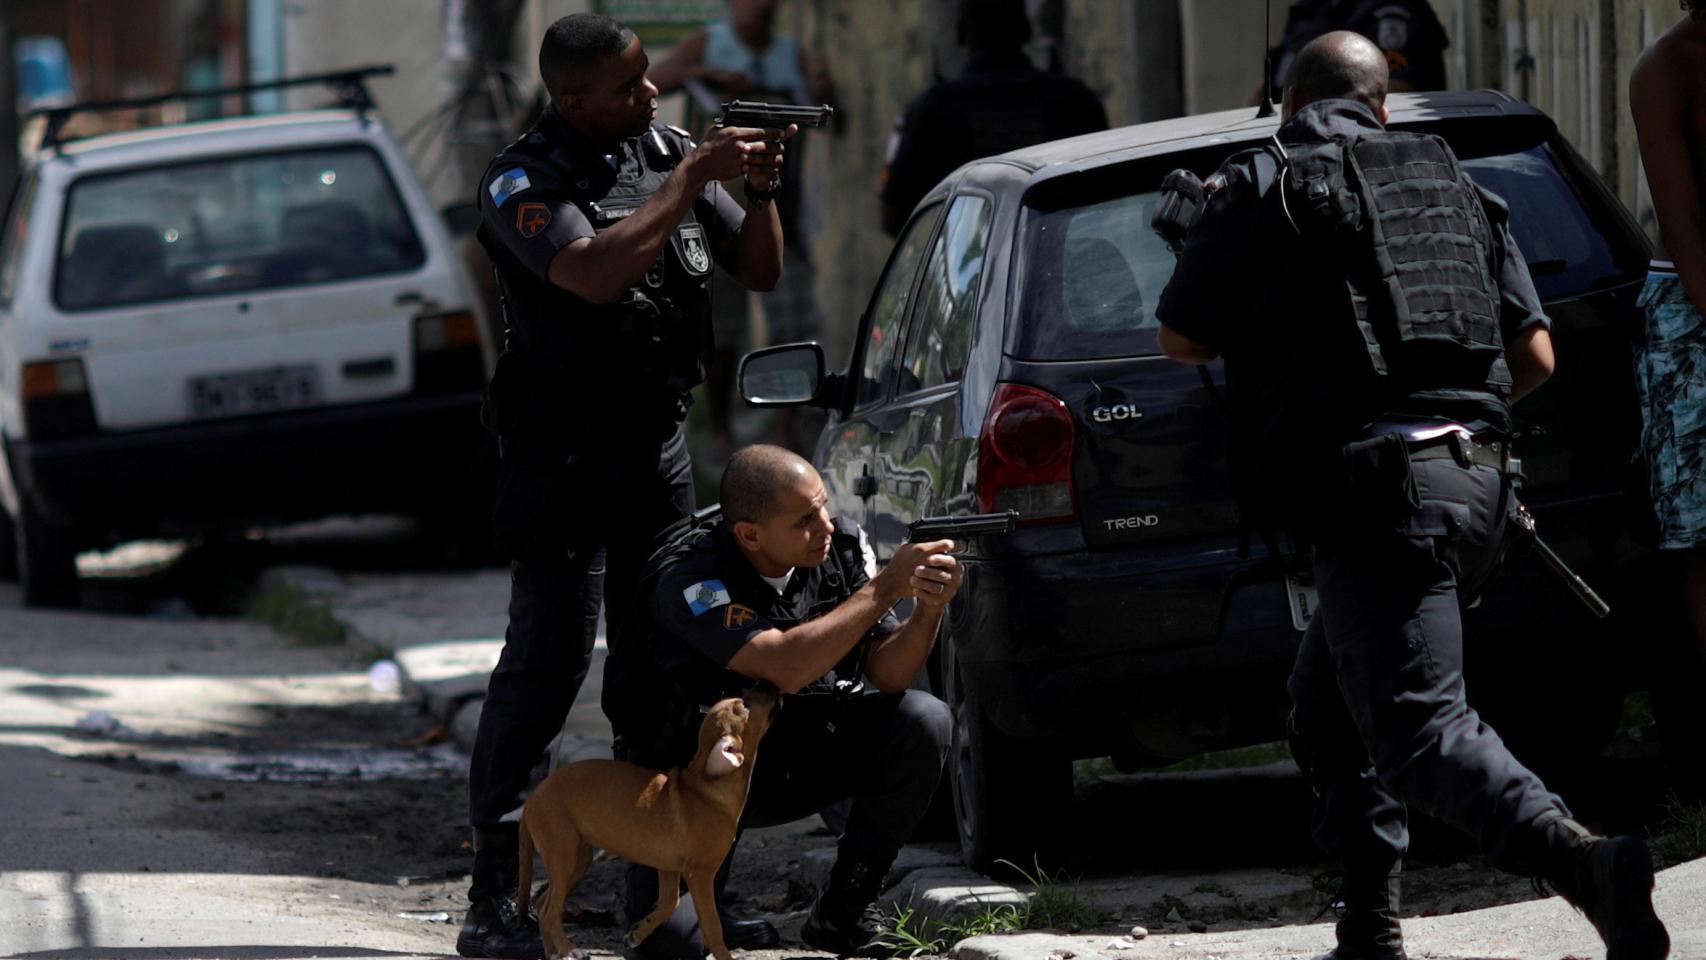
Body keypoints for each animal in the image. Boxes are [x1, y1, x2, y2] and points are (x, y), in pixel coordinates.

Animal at [518, 692, 781, 960]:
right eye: (744, 706)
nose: (769, 687)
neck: (705, 787)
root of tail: (533, 798)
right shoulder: (700, 873)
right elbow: (712, 927)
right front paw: (724, 955)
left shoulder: (668, 866)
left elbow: (669, 902)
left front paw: (636, 934)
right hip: (564, 854)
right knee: (549, 911)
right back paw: (569, 949)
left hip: (578, 859)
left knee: (543, 904)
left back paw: (553, 951)